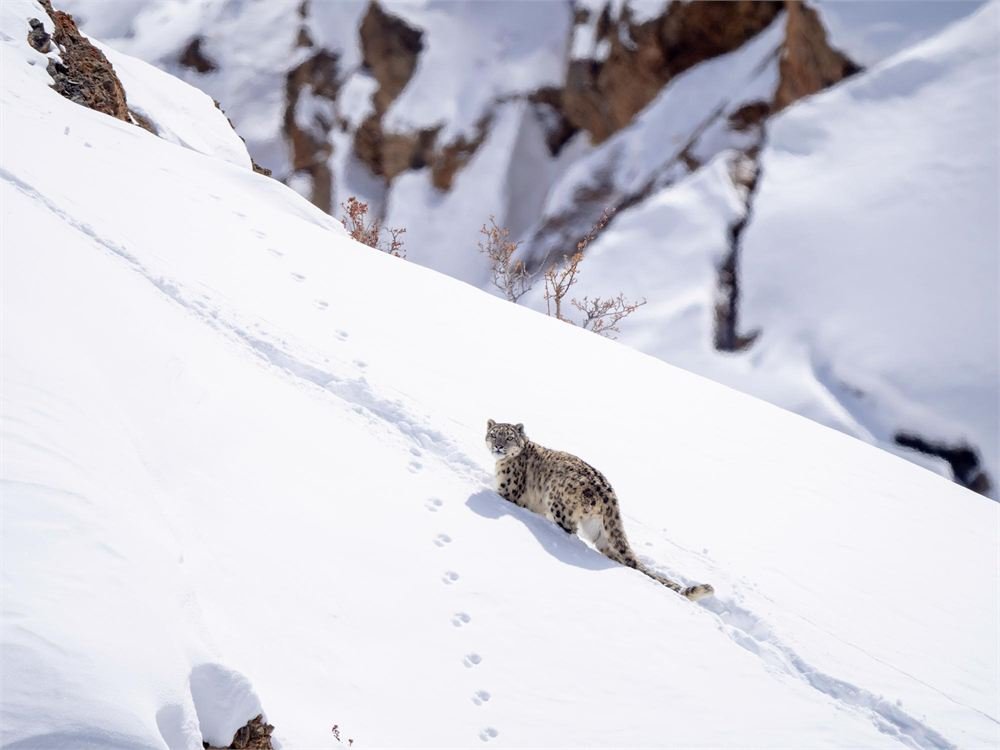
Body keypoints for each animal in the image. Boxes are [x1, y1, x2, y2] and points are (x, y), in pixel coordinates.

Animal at [485, 419, 713, 601]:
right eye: (494, 434)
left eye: (509, 437)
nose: (498, 447)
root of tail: (608, 493)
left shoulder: (508, 491)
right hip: (598, 530)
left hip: (559, 507)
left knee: (570, 531)